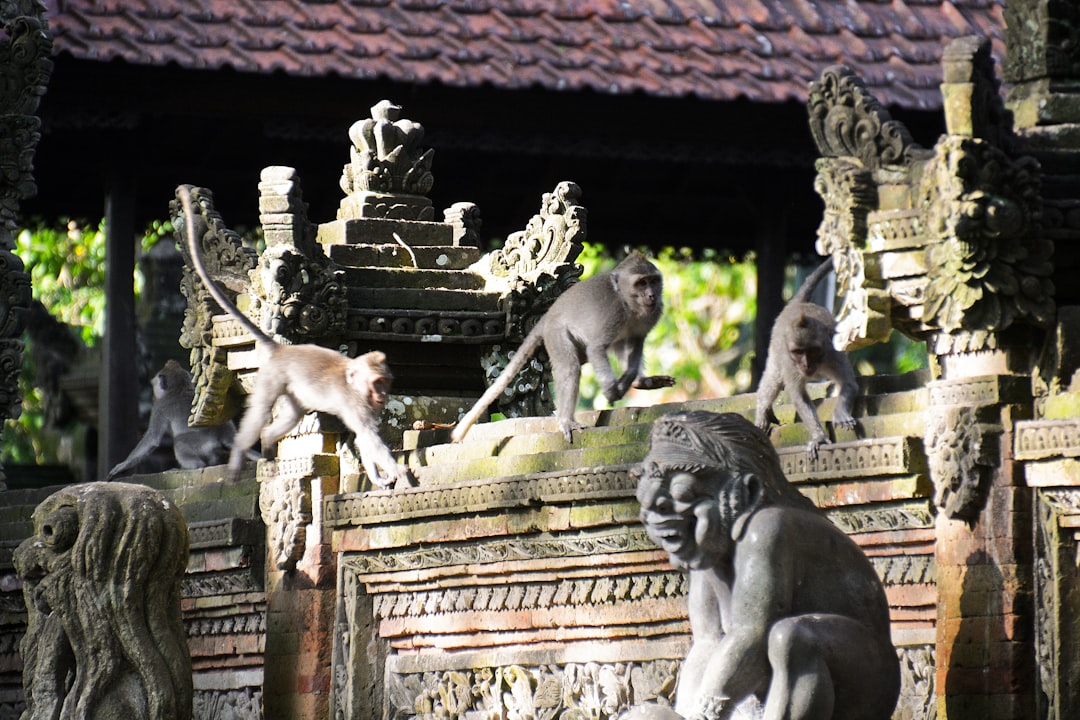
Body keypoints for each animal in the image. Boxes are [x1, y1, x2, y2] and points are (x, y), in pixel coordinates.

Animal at [179, 185, 410, 490]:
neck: (357, 385)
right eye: (377, 383)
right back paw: (242, 452)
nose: (383, 395)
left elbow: (364, 439)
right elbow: (369, 438)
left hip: (293, 391)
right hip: (270, 379)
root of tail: (281, 350)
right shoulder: (355, 404)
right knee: (260, 413)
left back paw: (267, 444)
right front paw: (399, 472)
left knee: (292, 416)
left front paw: (378, 477)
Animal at [449, 253, 673, 444]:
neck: (628, 304)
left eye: (653, 281)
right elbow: (597, 349)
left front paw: (637, 380)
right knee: (570, 368)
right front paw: (611, 391)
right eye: (641, 283)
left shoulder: (652, 315)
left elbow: (635, 343)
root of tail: (548, 314)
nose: (651, 295)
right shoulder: (614, 313)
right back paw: (566, 421)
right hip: (556, 333)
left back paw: (638, 381)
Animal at [756, 259, 855, 459]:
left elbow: (847, 383)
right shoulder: (789, 362)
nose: (806, 364)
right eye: (798, 352)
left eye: (813, 350)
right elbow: (798, 395)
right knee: (773, 377)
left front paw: (841, 412)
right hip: (776, 348)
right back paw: (763, 408)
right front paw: (819, 437)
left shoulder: (833, 353)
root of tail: (796, 305)